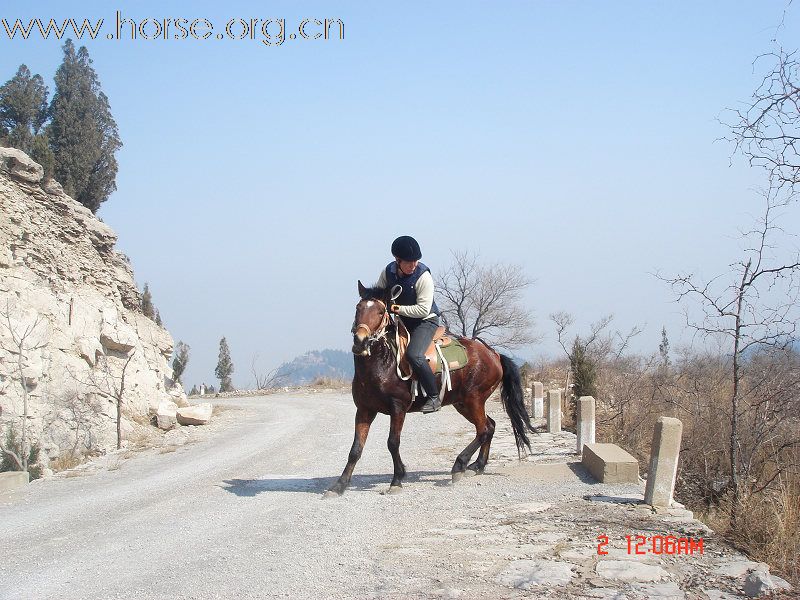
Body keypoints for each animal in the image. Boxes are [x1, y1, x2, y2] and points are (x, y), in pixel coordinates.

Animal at [324, 282, 536, 496]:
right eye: (358, 308)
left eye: (381, 311)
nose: (360, 341)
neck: (383, 364)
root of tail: (494, 354)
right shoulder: (364, 410)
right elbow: (355, 449)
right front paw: (339, 485)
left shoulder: (398, 408)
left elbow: (392, 443)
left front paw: (397, 479)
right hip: (463, 403)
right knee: (489, 426)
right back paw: (477, 465)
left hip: (474, 399)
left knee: (483, 429)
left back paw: (459, 466)